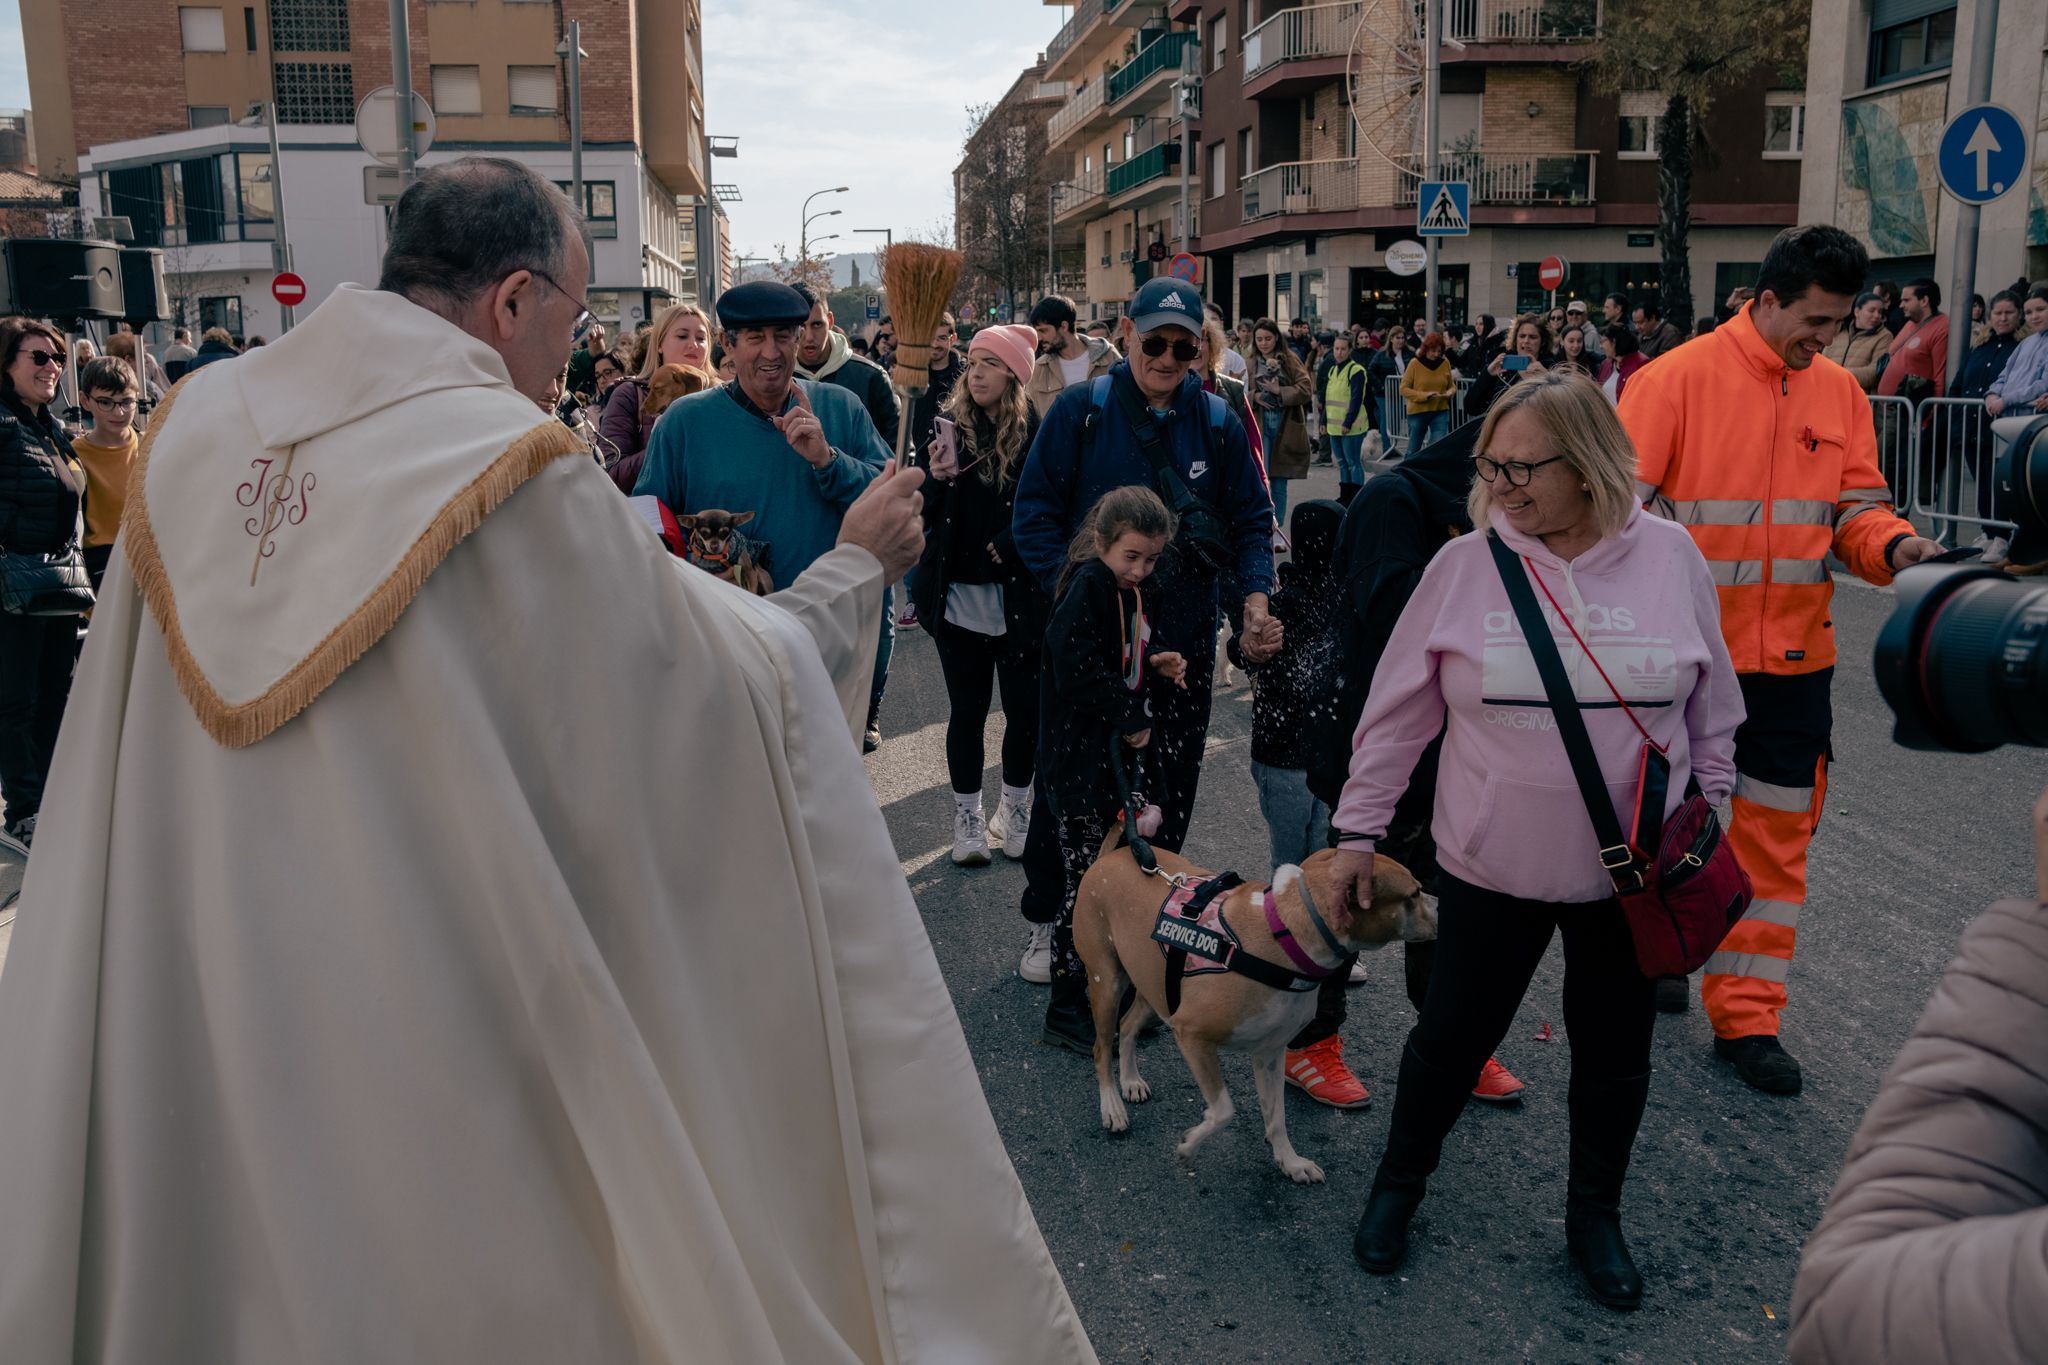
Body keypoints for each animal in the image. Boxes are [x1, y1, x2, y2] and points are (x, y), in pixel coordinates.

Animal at [1081, 826, 1433, 1186]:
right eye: (1414, 893)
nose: (1440, 906)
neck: (1286, 938)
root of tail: (1109, 857)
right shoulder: (1192, 1034)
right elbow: (1224, 1109)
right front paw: (1190, 1144)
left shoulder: (1270, 1051)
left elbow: (1277, 1117)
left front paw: (1290, 1161)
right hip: (1107, 982)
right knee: (1101, 1049)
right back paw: (1112, 1106)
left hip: (1156, 989)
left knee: (1128, 1025)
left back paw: (1130, 1081)